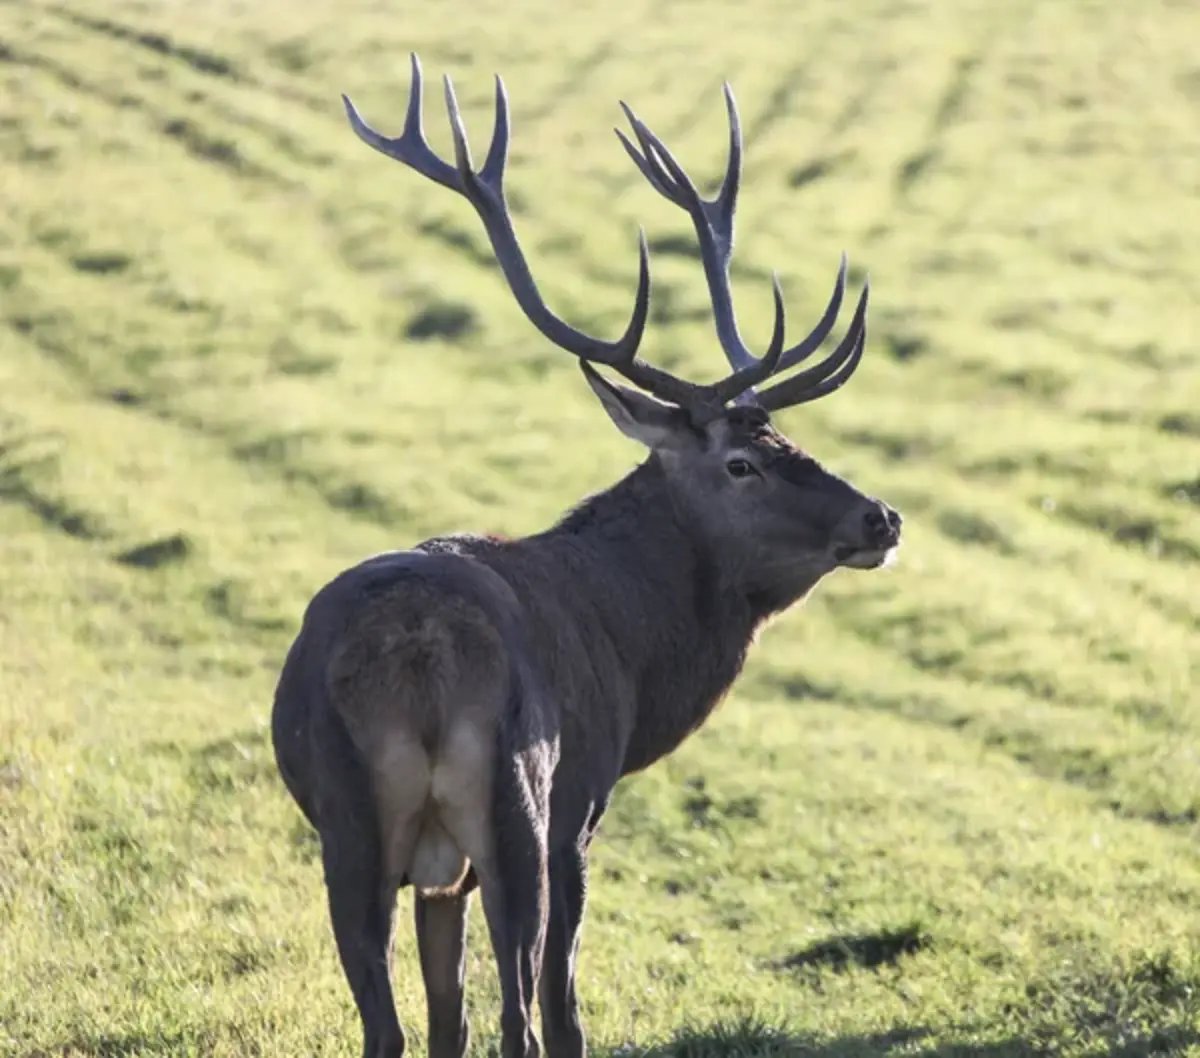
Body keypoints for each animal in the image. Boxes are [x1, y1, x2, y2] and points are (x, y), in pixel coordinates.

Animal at [271, 53, 902, 1058]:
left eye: (790, 438)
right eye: (743, 463)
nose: (881, 517)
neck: (635, 654)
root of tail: (418, 657)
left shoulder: (439, 875)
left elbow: (446, 1017)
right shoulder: (583, 803)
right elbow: (558, 1004)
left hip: (348, 827)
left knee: (394, 1026)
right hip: (518, 805)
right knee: (527, 1019)